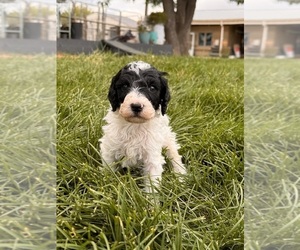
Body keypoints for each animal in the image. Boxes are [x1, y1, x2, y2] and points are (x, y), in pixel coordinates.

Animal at [99, 61, 185, 193]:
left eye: (152, 88)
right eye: (125, 86)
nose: (136, 106)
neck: (135, 125)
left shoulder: (152, 156)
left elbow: (152, 183)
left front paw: (151, 199)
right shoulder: (109, 148)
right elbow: (109, 169)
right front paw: (107, 186)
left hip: (168, 139)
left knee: (174, 155)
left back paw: (181, 176)